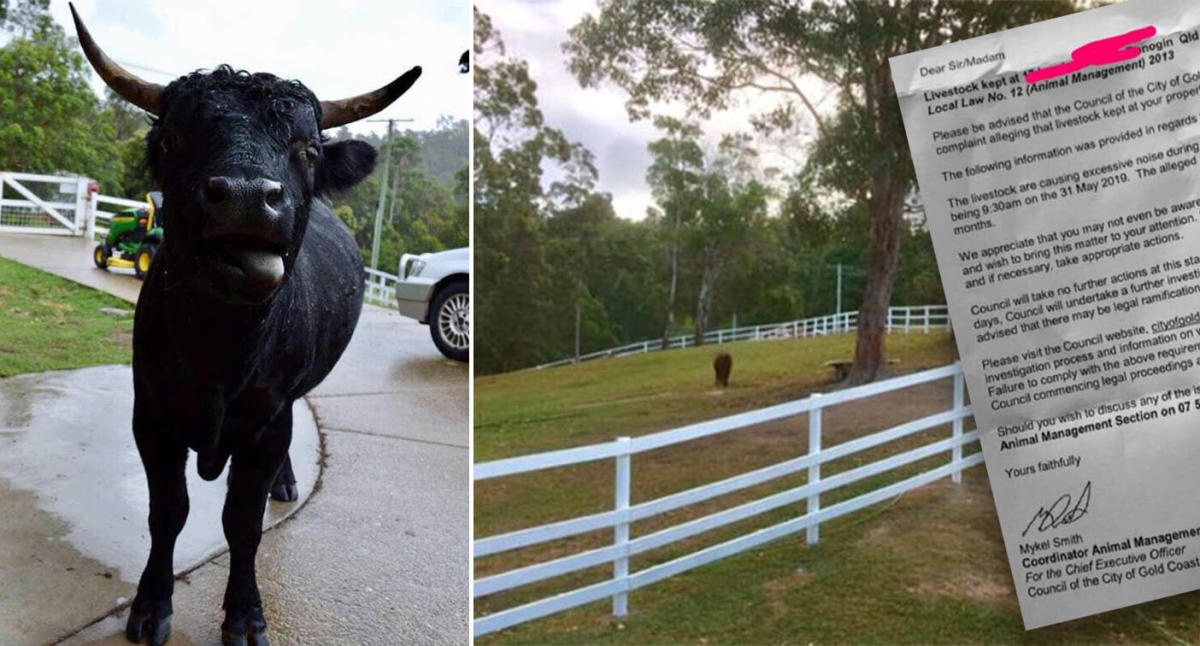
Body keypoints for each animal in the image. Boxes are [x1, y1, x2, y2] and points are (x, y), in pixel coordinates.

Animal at [72, 6, 422, 643]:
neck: (220, 351)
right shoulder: (151, 416)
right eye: (175, 137)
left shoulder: (267, 422)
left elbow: (243, 521)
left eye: (308, 149)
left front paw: (244, 613)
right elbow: (169, 512)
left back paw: (285, 482)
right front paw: (151, 604)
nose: (245, 197)